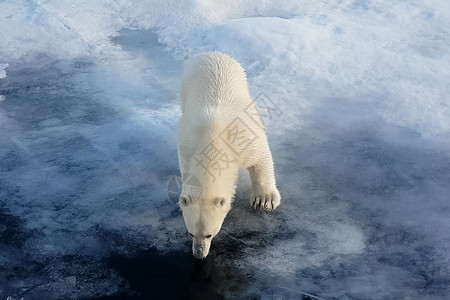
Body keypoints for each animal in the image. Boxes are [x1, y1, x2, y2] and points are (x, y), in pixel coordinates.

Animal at [177, 52, 280, 258]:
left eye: (209, 234)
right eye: (190, 233)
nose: (199, 254)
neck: (212, 139)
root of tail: (211, 53)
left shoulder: (243, 139)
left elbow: (261, 158)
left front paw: (264, 199)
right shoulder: (186, 145)